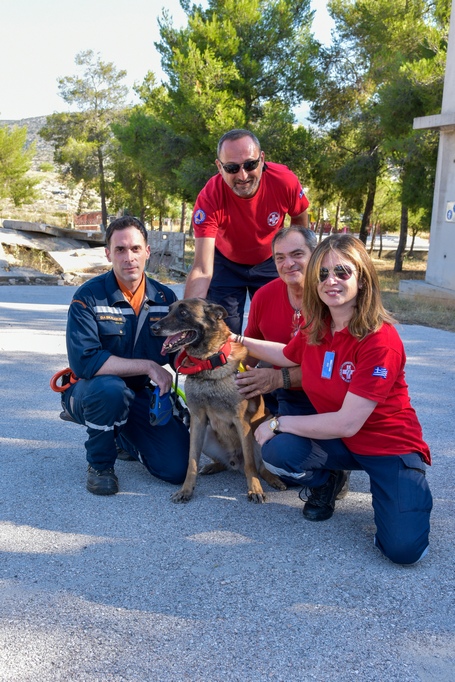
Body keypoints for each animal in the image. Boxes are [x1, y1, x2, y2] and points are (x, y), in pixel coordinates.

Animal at [153, 298, 286, 500]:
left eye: (183, 313)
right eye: (169, 310)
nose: (153, 327)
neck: (208, 363)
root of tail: (235, 461)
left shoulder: (241, 422)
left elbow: (251, 465)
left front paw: (255, 489)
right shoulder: (197, 420)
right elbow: (192, 461)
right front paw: (186, 489)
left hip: (263, 429)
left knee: (259, 467)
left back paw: (273, 479)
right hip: (206, 433)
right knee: (225, 463)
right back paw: (213, 466)